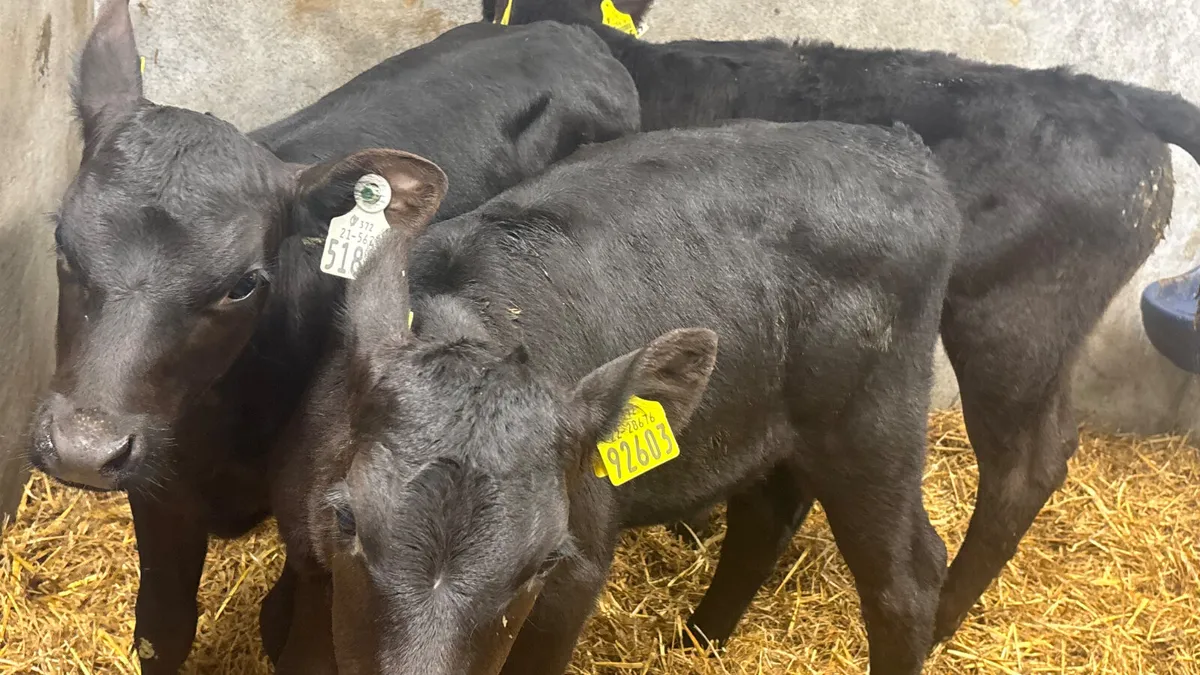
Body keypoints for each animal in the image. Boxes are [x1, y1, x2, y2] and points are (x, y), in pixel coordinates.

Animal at [25, 1, 639, 671]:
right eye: (61, 242)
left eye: (244, 283)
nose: (83, 448)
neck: (220, 432)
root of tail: (570, 35)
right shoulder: (164, 493)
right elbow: (163, 628)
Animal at [271, 119, 964, 675]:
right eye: (347, 519)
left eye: (542, 562)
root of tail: (896, 146)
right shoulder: (305, 558)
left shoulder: (573, 581)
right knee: (764, 522)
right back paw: (696, 642)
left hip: (872, 421)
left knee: (908, 580)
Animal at [479, 0, 1200, 644]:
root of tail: (1103, 92)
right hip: (1042, 339)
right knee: (1053, 440)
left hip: (1005, 328)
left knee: (1022, 468)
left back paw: (943, 618)